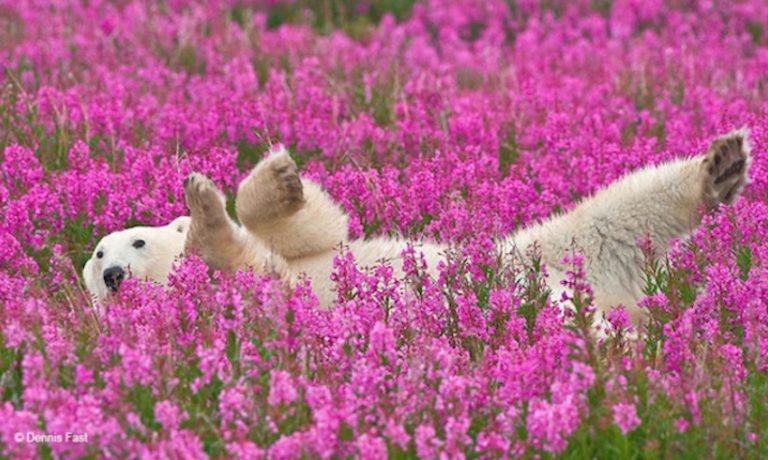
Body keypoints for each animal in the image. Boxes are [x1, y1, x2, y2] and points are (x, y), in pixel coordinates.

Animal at [83, 129, 751, 324]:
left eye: (132, 240)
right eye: (96, 257)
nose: (113, 274)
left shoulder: (300, 255)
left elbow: (319, 230)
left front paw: (269, 179)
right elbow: (233, 259)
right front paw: (205, 212)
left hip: (542, 251)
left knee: (617, 211)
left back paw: (721, 165)